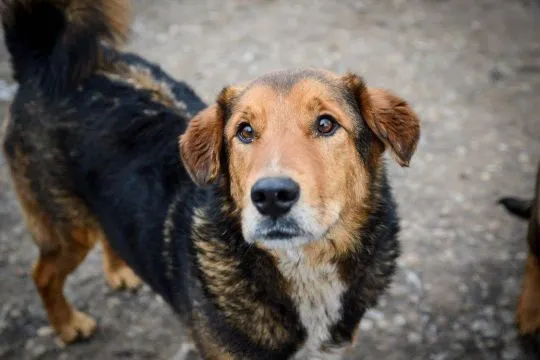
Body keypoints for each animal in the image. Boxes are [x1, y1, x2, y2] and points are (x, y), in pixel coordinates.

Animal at [1, 1, 422, 358]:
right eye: (245, 132)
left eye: (326, 124)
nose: (271, 196)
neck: (303, 267)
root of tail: (43, 61)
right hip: (65, 229)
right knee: (42, 274)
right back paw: (68, 325)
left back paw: (120, 271)